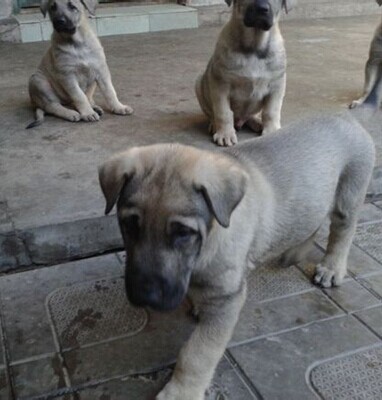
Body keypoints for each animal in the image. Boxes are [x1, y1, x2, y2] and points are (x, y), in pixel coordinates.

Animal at [27, 0, 133, 128]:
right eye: (53, 8)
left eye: (72, 6)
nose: (59, 21)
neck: (77, 43)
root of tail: (35, 103)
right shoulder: (67, 76)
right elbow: (79, 96)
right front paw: (87, 113)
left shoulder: (101, 70)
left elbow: (110, 91)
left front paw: (119, 107)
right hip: (39, 82)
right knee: (52, 106)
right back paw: (72, 113)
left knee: (84, 98)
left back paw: (94, 107)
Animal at [99, 113, 376, 400]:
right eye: (129, 224)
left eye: (183, 232)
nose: (145, 296)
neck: (208, 241)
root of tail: (346, 117)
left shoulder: (227, 299)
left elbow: (197, 353)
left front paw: (181, 391)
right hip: (314, 200)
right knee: (314, 224)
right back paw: (293, 253)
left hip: (349, 194)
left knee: (342, 232)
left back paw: (331, 268)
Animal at [195, 0, 296, 147]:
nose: (262, 9)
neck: (254, 47)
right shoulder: (220, 83)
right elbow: (223, 112)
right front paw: (225, 133)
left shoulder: (277, 83)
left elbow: (271, 111)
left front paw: (272, 130)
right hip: (199, 84)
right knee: (212, 113)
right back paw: (215, 125)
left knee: (251, 116)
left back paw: (257, 121)